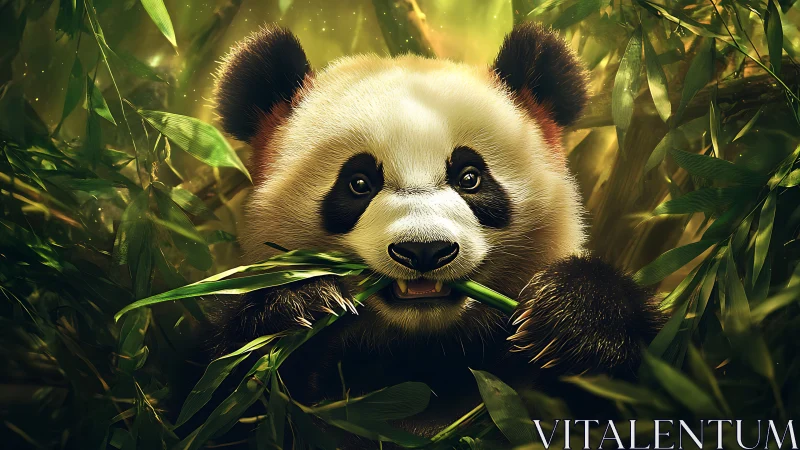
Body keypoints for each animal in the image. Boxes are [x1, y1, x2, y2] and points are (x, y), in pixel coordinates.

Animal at [210, 23, 663, 443]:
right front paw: (301, 308)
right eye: (358, 183)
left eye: (470, 177)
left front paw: (574, 316)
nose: (424, 250)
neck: (423, 349)